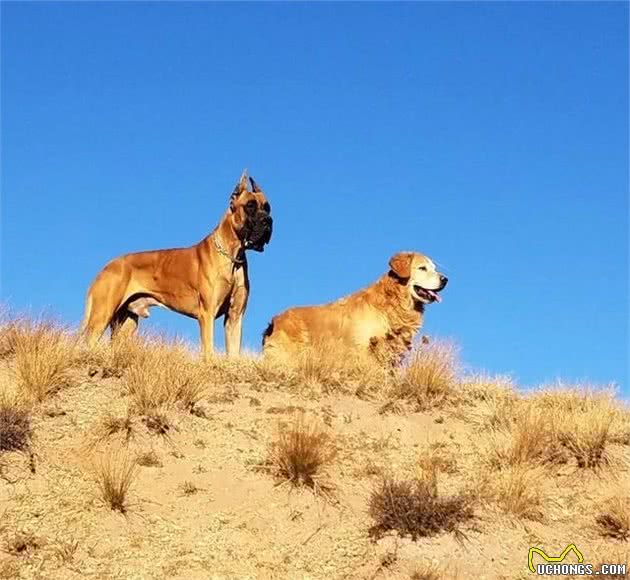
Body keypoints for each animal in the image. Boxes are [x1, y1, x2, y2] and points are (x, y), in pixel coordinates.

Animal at [82, 170, 272, 358]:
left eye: (268, 208)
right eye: (250, 206)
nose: (268, 221)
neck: (232, 256)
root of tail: (106, 266)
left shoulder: (235, 317)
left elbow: (233, 355)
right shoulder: (207, 314)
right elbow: (208, 351)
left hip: (126, 323)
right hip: (101, 315)